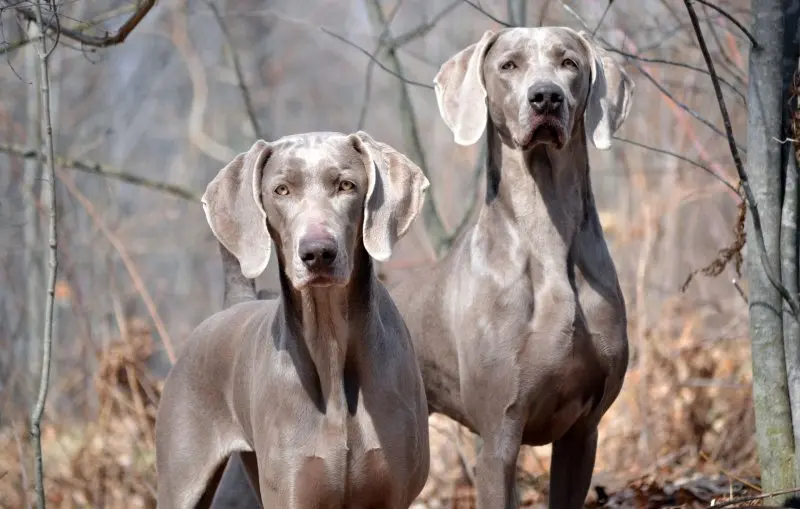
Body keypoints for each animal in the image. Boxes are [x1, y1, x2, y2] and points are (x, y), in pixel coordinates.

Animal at [155, 132, 432, 508]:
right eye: (281, 190)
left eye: (346, 185)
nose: (318, 253)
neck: (330, 342)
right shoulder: (292, 489)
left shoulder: (391, 492)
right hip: (184, 477)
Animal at [390, 26, 636, 508]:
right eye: (509, 65)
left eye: (569, 62)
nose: (546, 97)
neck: (547, 233)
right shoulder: (499, 435)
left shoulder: (583, 432)